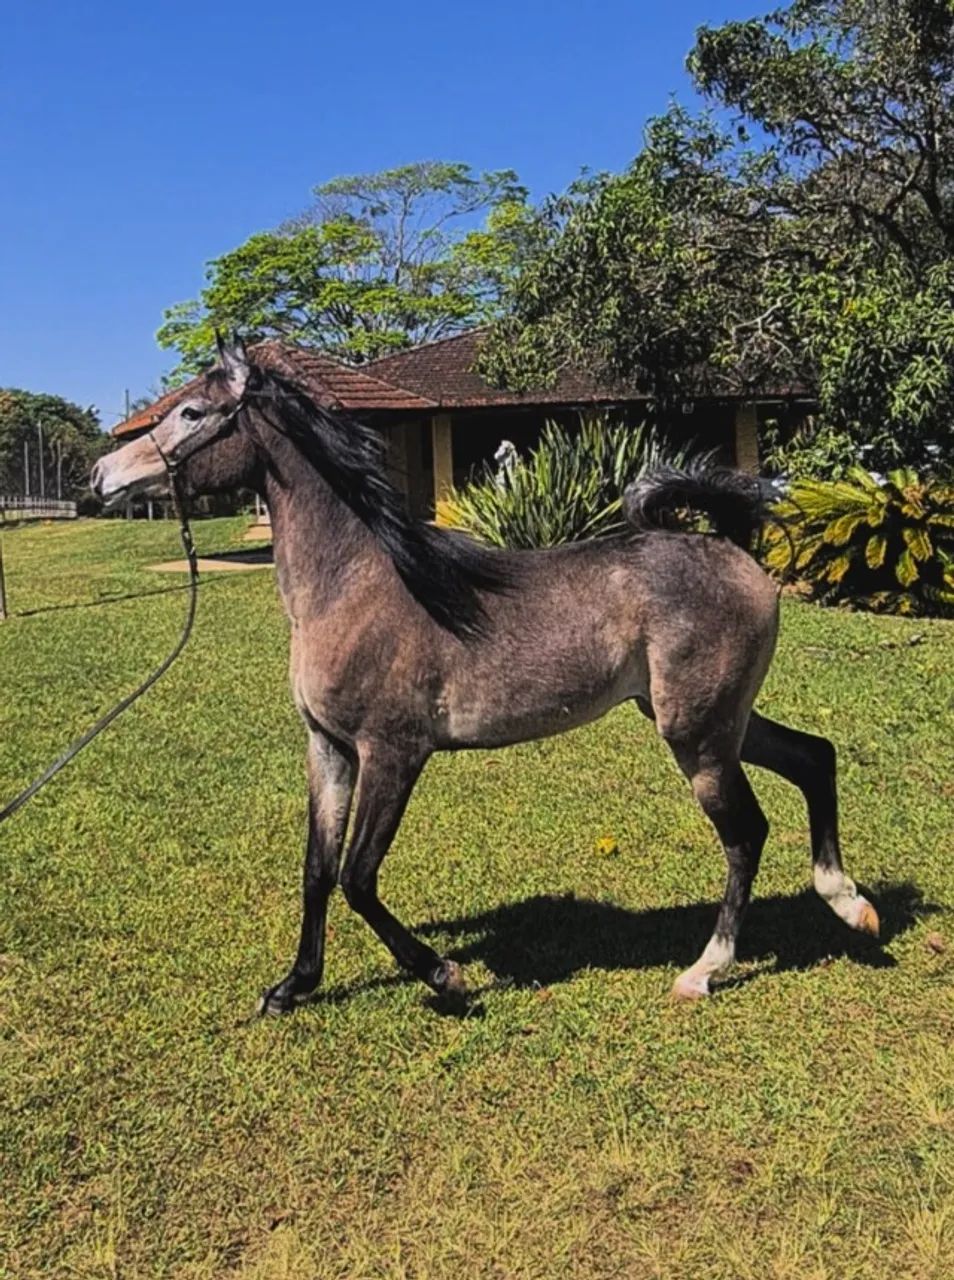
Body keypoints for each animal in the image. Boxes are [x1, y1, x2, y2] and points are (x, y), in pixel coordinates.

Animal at [90, 338, 879, 1013]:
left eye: (194, 412)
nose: (102, 476)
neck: (357, 586)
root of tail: (735, 554)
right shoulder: (330, 748)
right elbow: (317, 869)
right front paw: (292, 987)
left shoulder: (394, 753)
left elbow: (358, 876)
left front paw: (445, 975)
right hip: (713, 720)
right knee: (814, 758)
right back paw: (850, 905)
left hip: (698, 736)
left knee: (746, 833)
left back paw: (704, 971)